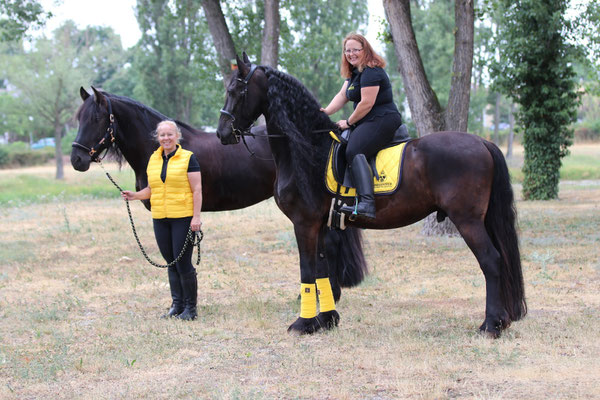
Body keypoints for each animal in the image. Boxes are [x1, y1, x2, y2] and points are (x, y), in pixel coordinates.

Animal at [216, 54, 524, 338]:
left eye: (236, 91)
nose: (221, 133)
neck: (308, 149)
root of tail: (482, 141)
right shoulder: (322, 226)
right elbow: (322, 271)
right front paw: (325, 321)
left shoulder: (304, 224)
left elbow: (307, 270)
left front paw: (303, 323)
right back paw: (501, 321)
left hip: (468, 220)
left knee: (491, 261)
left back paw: (490, 325)